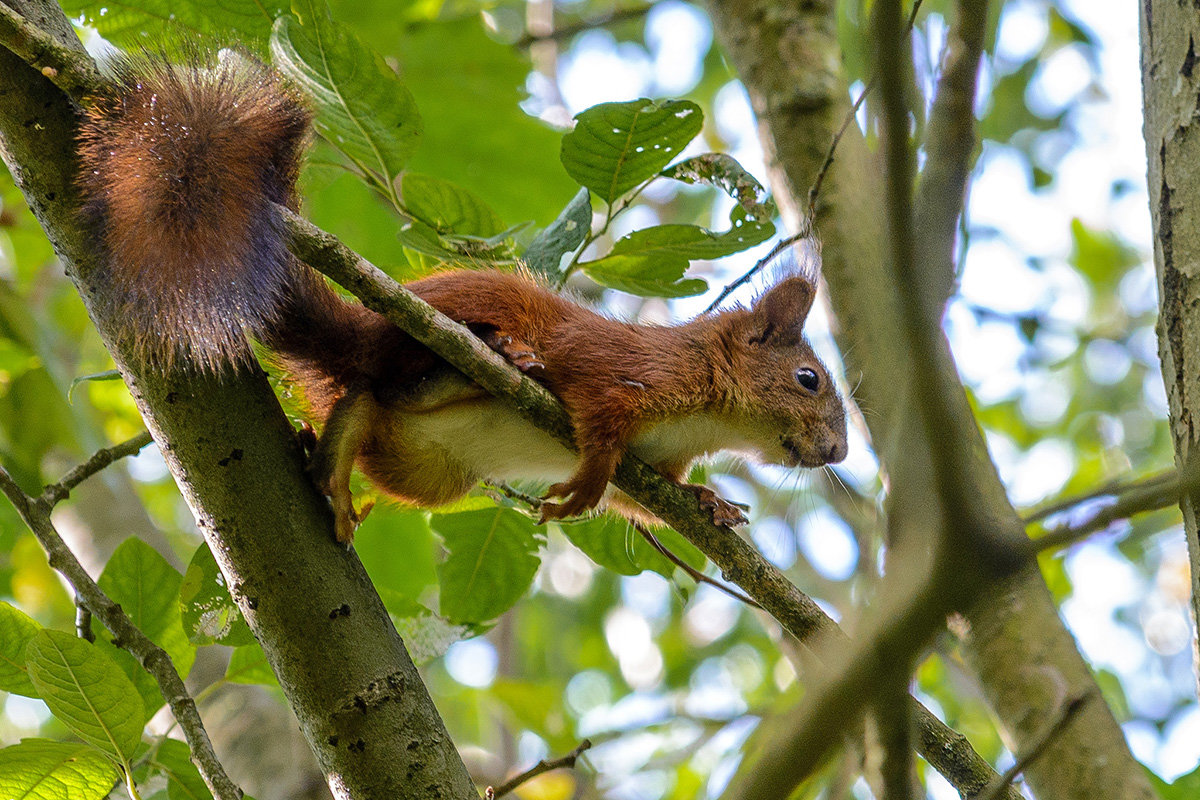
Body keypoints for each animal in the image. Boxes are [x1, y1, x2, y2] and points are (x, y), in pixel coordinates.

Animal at [77, 59, 844, 542]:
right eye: (808, 379)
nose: (836, 452)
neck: (706, 417)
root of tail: (361, 329)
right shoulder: (627, 372)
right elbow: (598, 418)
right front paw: (588, 481)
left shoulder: (657, 466)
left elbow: (644, 500)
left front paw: (710, 504)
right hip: (434, 334)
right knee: (402, 373)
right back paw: (504, 354)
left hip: (426, 468)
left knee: (371, 402)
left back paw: (328, 463)